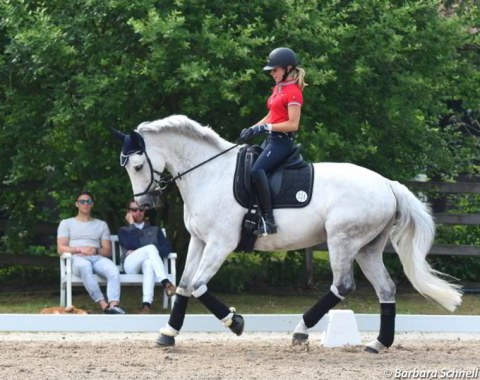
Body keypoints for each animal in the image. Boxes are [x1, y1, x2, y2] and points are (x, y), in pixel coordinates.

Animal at [112, 113, 462, 354]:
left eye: (138, 166)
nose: (144, 204)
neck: (209, 173)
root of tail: (388, 184)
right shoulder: (199, 240)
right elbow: (184, 286)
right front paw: (168, 334)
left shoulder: (221, 243)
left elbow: (198, 285)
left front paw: (235, 323)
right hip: (367, 248)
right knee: (386, 289)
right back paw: (378, 343)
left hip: (342, 241)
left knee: (342, 285)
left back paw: (301, 331)